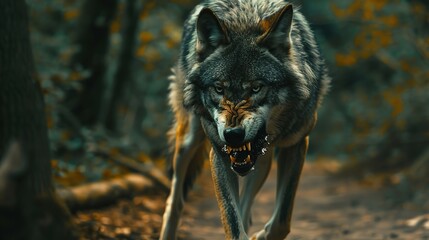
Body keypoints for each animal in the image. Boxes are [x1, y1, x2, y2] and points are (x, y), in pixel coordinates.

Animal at [159, 0, 330, 239]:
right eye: (219, 88)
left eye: (256, 87)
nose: (232, 135)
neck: (246, 20)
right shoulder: (219, 153)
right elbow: (232, 222)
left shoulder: (296, 144)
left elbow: (281, 221)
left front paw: (261, 235)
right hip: (188, 141)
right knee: (175, 201)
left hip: (263, 163)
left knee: (246, 208)